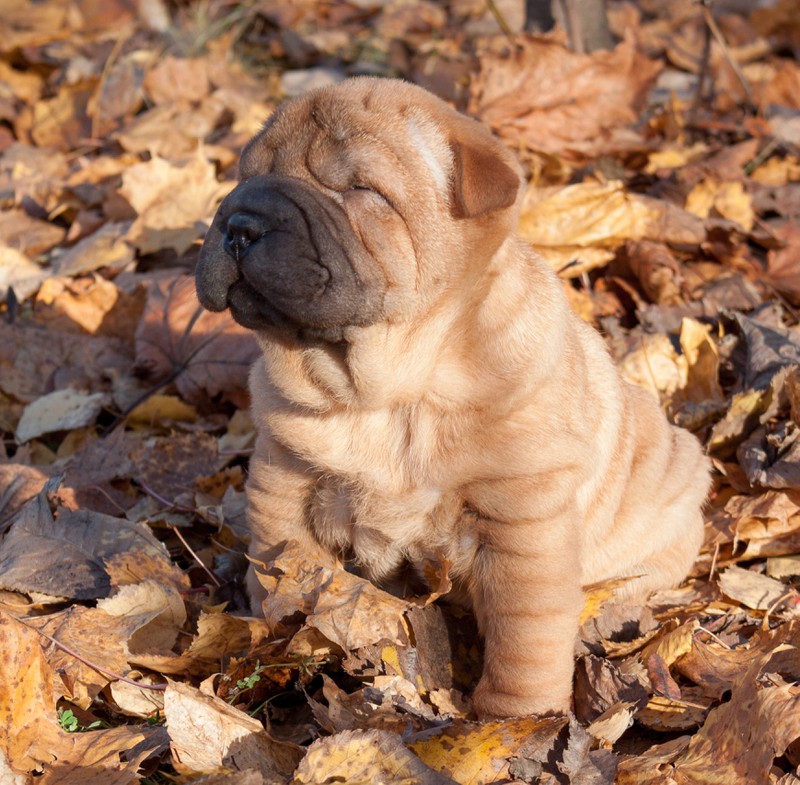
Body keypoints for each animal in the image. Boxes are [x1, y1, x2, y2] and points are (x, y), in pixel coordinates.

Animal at [197, 78, 708, 716]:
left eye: (359, 189)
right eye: (245, 178)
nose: (240, 223)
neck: (387, 392)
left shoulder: (522, 521)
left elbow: (525, 633)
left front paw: (516, 720)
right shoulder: (282, 480)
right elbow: (280, 571)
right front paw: (280, 643)